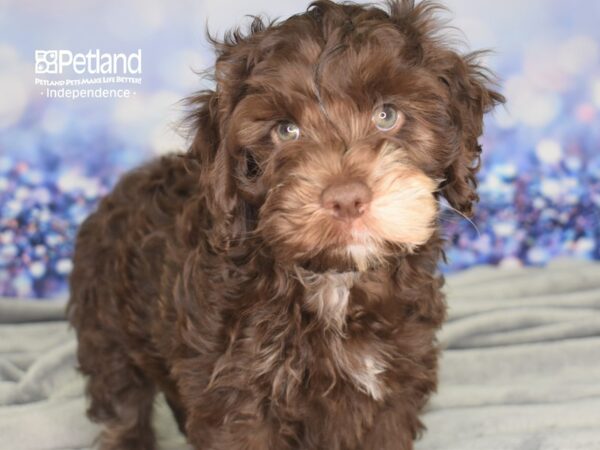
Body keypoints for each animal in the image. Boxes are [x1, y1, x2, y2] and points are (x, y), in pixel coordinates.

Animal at [68, 1, 504, 448]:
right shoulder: (238, 392)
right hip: (106, 327)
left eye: (387, 115)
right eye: (285, 130)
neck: (334, 279)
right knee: (123, 402)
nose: (347, 198)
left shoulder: (395, 377)